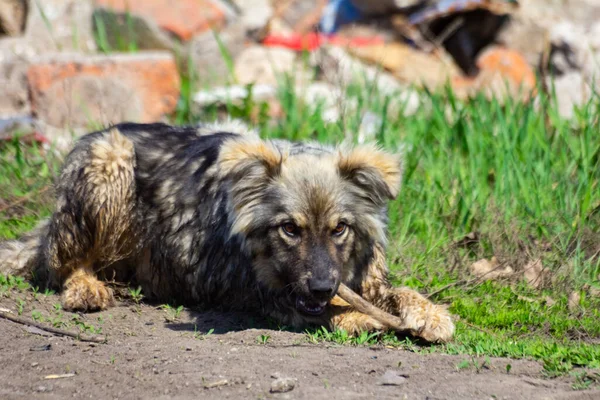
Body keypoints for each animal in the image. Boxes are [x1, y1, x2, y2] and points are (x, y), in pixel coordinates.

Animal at [0, 122, 452, 344]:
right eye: (289, 229)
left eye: (340, 228)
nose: (323, 287)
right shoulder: (264, 294)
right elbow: (338, 312)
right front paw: (362, 317)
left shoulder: (362, 279)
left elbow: (400, 292)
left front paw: (430, 313)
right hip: (110, 160)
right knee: (61, 265)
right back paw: (86, 288)